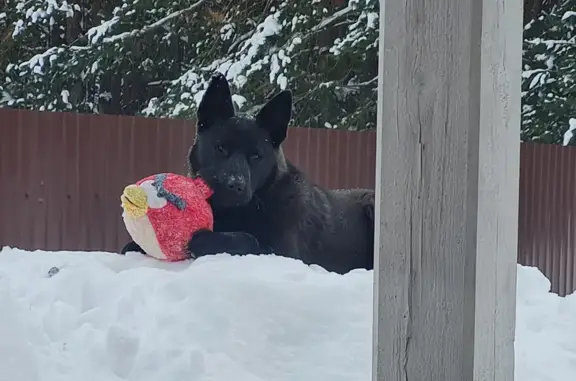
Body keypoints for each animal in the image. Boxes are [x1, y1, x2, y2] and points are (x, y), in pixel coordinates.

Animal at [121, 72, 374, 274]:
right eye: (221, 148)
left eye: (256, 156)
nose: (235, 185)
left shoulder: (284, 253)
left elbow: (247, 240)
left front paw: (204, 240)